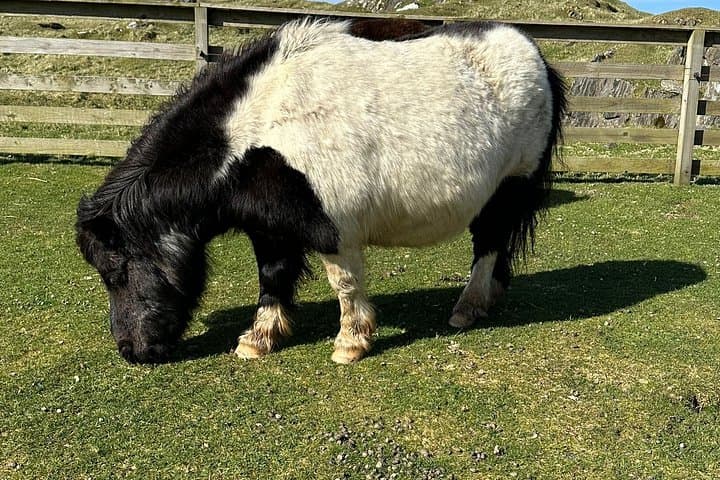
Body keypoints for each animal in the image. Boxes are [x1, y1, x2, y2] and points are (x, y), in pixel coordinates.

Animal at [76, 18, 566, 364]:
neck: (259, 128)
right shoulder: (270, 230)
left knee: (488, 246)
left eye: (115, 271)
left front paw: (350, 343)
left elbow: (344, 284)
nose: (132, 352)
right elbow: (272, 277)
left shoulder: (334, 229)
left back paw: (467, 308)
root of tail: (536, 55)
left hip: (507, 191)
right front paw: (259, 339)